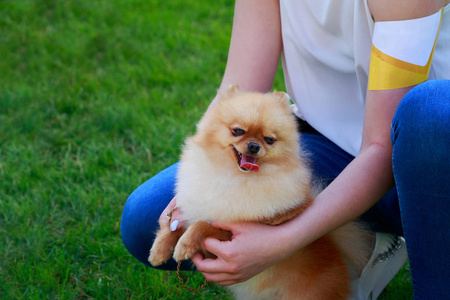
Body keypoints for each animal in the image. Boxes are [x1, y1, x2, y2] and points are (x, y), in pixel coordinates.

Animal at [148, 85, 370, 298]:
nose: (254, 145)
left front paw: (184, 245)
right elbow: (176, 225)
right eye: (238, 131)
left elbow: (201, 226)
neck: (231, 175)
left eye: (269, 139)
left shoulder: (229, 235)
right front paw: (159, 250)